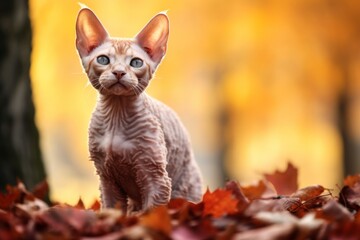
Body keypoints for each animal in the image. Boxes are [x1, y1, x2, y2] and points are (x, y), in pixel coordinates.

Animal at [75, 7, 202, 214]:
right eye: (103, 59)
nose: (119, 72)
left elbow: (151, 213)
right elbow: (111, 210)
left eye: (136, 63)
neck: (116, 113)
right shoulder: (106, 177)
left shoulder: (156, 176)